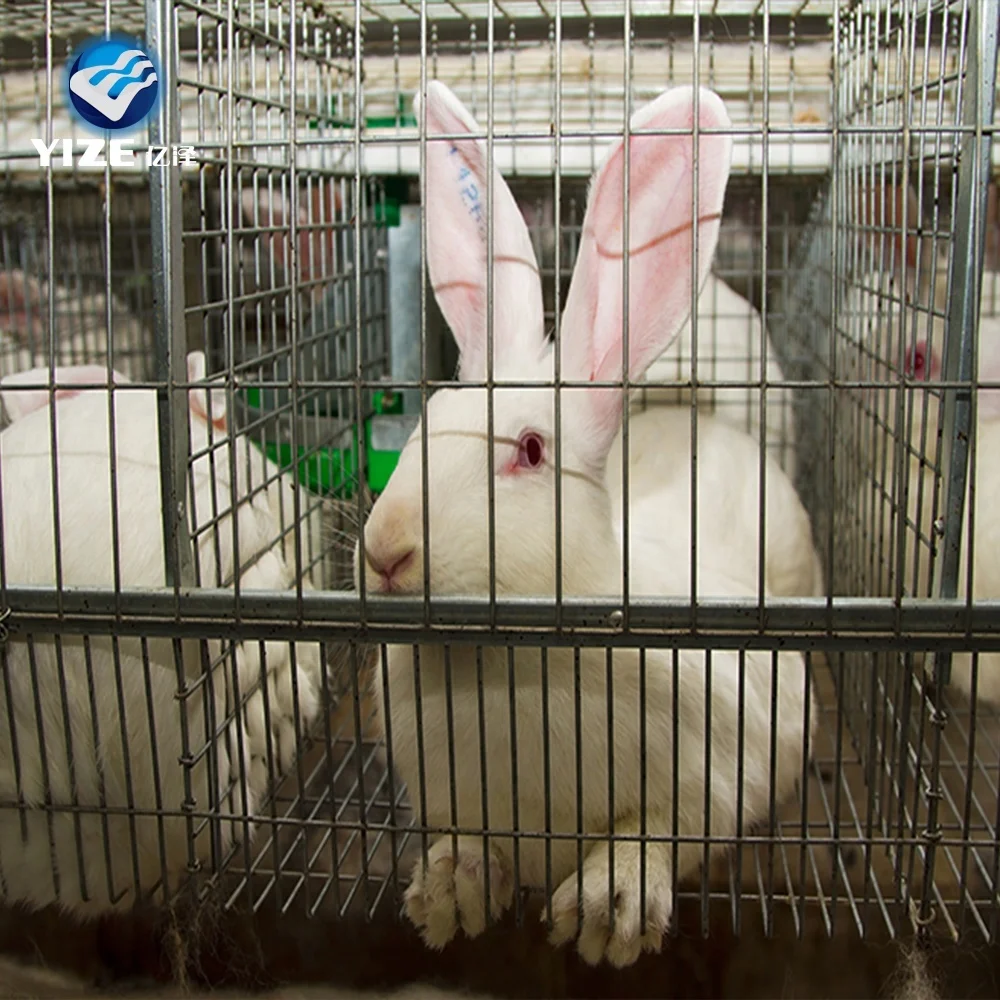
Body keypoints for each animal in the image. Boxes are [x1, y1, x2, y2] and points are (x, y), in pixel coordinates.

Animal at [352, 81, 817, 969]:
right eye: (426, 423)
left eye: (531, 450)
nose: (385, 551)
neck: (506, 671)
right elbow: (469, 839)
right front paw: (448, 895)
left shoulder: (733, 763)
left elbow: (659, 828)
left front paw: (611, 913)